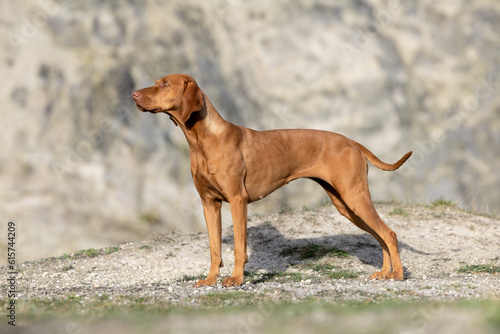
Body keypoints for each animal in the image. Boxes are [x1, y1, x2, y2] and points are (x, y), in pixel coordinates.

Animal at [131, 73, 412, 288]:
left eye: (164, 83)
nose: (133, 95)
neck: (203, 141)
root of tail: (353, 142)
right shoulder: (209, 203)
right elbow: (214, 249)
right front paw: (210, 280)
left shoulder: (237, 200)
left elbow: (239, 248)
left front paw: (236, 280)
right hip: (345, 205)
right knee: (380, 235)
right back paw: (384, 272)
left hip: (354, 197)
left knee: (389, 233)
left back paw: (397, 274)